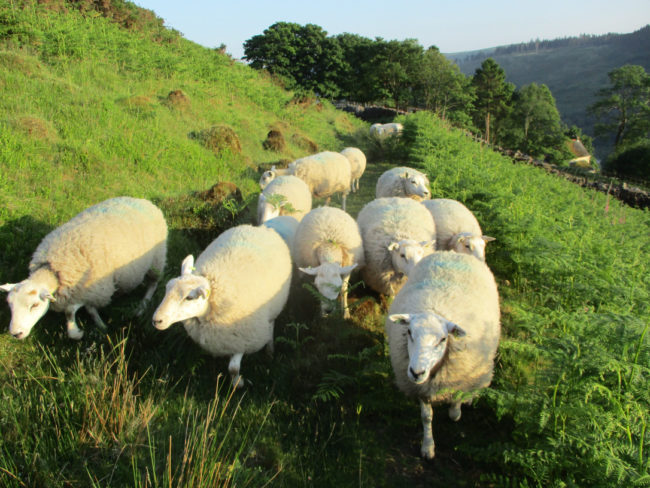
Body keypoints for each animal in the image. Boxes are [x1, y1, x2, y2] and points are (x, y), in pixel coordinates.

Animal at [0, 196, 167, 342]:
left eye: (34, 305)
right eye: (9, 304)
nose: (16, 333)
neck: (54, 270)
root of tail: (145, 201)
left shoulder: (96, 288)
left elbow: (75, 310)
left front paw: (83, 330)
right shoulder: (85, 290)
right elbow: (84, 309)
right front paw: (93, 326)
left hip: (157, 260)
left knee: (153, 284)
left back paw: (142, 305)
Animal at [152, 225, 288, 388]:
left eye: (189, 297)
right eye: (167, 288)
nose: (156, 320)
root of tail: (261, 228)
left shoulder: (243, 337)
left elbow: (233, 368)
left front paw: (238, 383)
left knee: (271, 324)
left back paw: (270, 349)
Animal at [384, 250, 502, 460]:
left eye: (443, 339)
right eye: (409, 332)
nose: (416, 372)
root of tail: (454, 253)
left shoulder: (460, 379)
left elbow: (456, 403)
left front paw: (455, 412)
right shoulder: (422, 389)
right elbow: (426, 417)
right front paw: (428, 447)